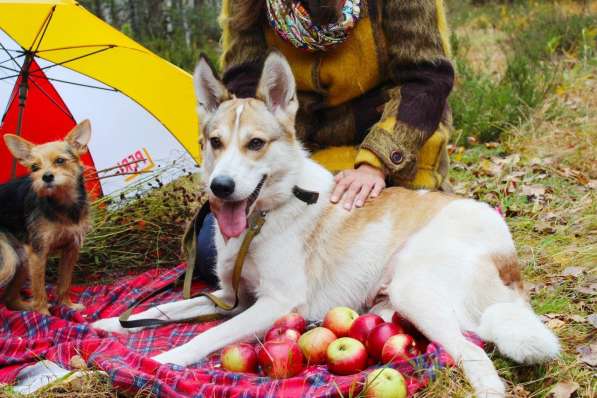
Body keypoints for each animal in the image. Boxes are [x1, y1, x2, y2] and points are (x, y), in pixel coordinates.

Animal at [0, 121, 91, 314]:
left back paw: (27, 308)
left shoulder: (71, 248)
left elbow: (64, 283)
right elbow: (40, 290)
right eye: (34, 167)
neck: (62, 204)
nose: (46, 176)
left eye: (60, 160)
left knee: (9, 298)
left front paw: (67, 305)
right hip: (9, 258)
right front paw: (44, 314)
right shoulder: (38, 254)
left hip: (21, 260)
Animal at [91, 52, 556, 394]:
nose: (221, 187)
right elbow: (164, 308)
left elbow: (204, 336)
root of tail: (508, 258)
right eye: (215, 143)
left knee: (472, 351)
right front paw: (109, 324)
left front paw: (165, 360)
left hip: (415, 289)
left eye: (256, 144)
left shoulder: (274, 304)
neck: (263, 219)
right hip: (393, 300)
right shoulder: (230, 297)